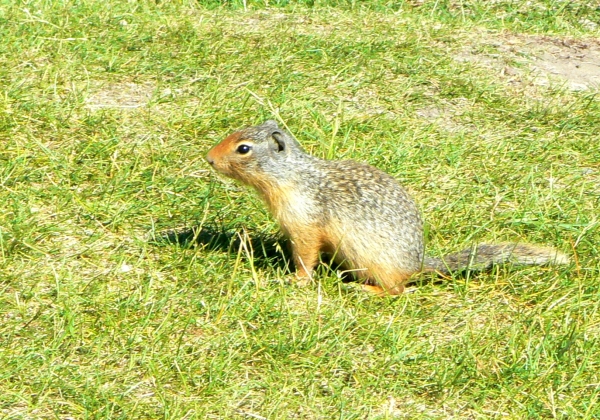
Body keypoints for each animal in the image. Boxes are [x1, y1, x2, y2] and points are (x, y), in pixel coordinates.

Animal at [205, 120, 568, 294]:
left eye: (243, 148)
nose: (208, 158)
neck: (292, 176)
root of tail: (418, 264)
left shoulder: (305, 221)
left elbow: (307, 256)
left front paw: (295, 280)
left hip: (378, 264)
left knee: (398, 291)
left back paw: (365, 290)